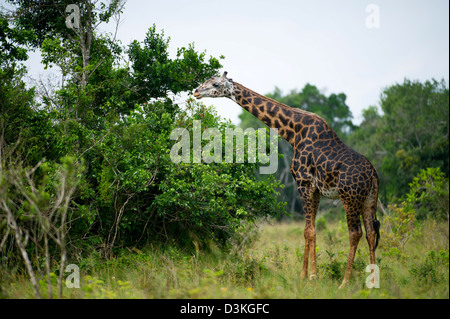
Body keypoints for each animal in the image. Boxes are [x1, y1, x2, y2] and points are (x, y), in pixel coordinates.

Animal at [193, 71, 380, 288]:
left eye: (215, 83)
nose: (196, 92)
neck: (293, 133)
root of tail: (373, 174)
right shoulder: (315, 189)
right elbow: (309, 229)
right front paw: (304, 275)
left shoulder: (303, 182)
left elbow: (309, 230)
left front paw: (311, 277)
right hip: (368, 199)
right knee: (371, 233)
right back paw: (373, 282)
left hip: (350, 197)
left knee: (355, 233)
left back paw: (344, 282)